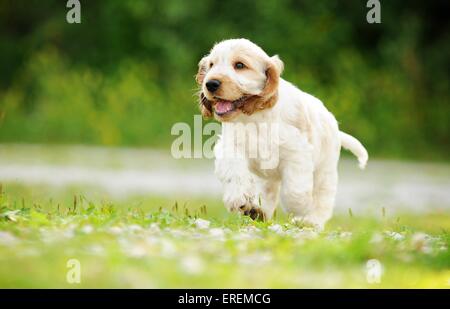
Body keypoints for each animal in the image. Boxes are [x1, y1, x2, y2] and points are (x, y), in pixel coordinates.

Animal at [195, 38, 368, 229]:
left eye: (239, 65)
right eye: (211, 65)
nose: (210, 84)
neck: (255, 116)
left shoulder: (297, 153)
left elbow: (294, 189)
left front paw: (300, 208)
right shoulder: (230, 147)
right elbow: (235, 173)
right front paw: (239, 199)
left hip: (325, 170)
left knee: (322, 199)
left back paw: (311, 221)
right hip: (268, 178)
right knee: (267, 193)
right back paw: (258, 211)